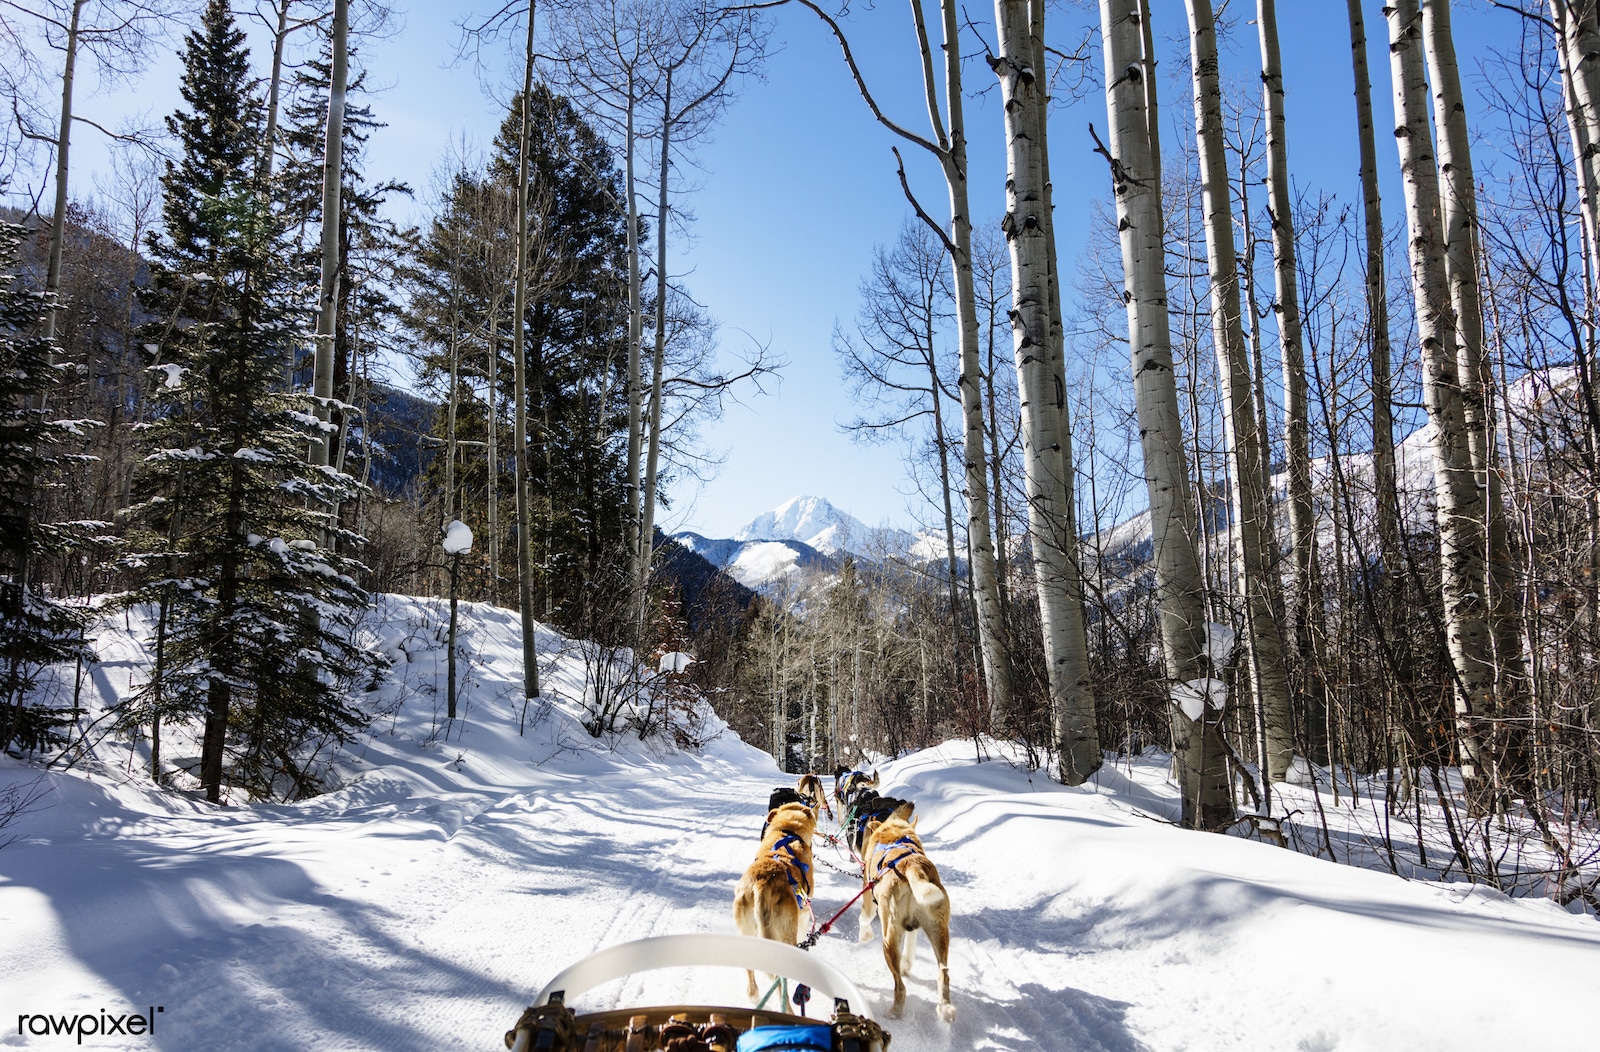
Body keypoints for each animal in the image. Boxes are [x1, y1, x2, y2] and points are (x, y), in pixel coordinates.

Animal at [732, 799, 819, 997]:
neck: (788, 832)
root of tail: (761, 883)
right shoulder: (804, 912)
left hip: (747, 933)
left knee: (752, 989)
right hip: (785, 936)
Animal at [864, 812, 947, 1016]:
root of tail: (911, 865)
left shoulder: (869, 897)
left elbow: (865, 918)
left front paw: (865, 935)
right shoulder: (912, 926)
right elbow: (911, 944)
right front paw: (907, 965)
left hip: (888, 939)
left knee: (900, 987)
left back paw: (893, 1013)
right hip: (939, 931)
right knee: (943, 973)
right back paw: (946, 1010)